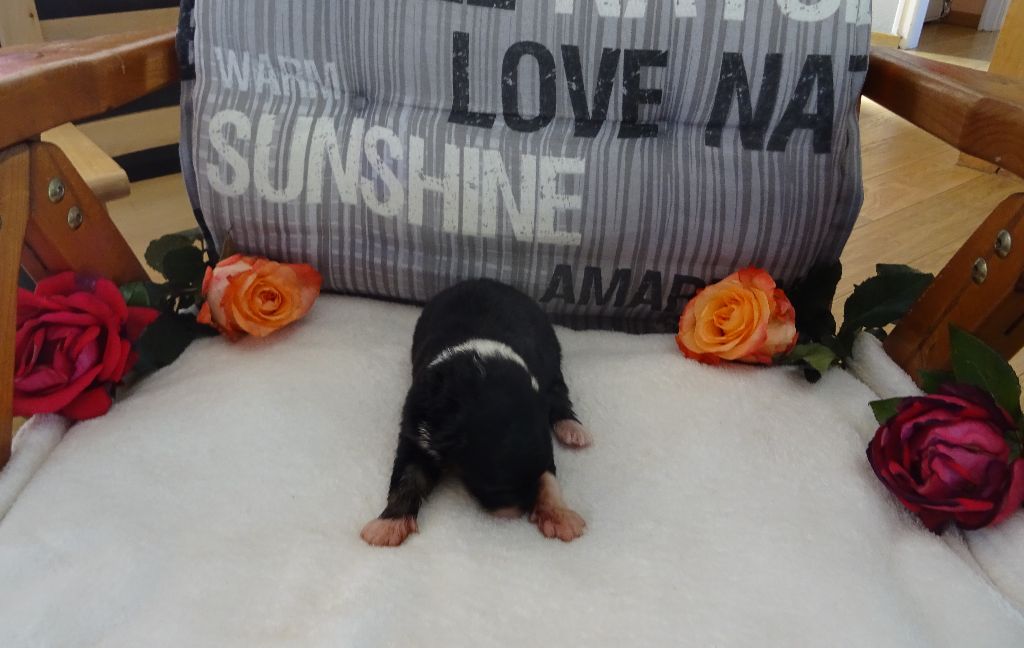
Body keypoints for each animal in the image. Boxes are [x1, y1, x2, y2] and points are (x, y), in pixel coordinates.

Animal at [361, 279, 592, 547]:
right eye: (495, 488)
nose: (524, 509)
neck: (478, 373)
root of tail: (487, 281)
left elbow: (549, 477)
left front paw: (558, 514)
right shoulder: (415, 430)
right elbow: (406, 477)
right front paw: (388, 525)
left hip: (552, 356)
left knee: (559, 394)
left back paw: (573, 429)